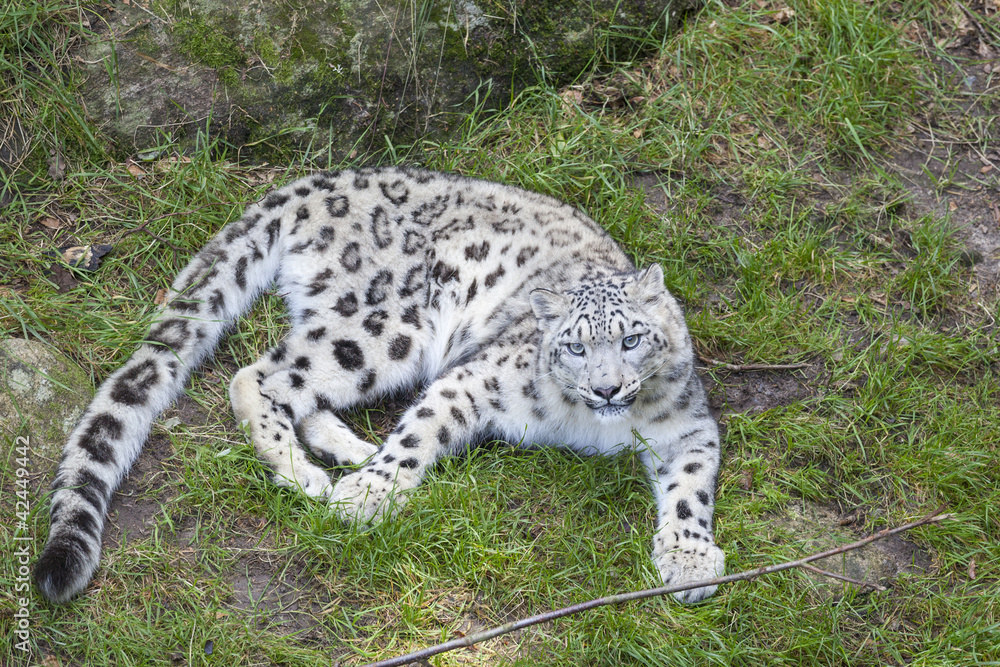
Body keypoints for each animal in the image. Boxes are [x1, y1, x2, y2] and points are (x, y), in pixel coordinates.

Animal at [35, 166, 725, 605]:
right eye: (576, 347)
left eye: (631, 340)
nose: (607, 391)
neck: (588, 425)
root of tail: (320, 181)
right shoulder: (472, 379)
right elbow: (418, 435)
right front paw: (366, 496)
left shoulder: (688, 425)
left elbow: (691, 489)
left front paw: (691, 561)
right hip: (384, 329)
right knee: (258, 375)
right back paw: (308, 474)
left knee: (302, 391)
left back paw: (348, 451)